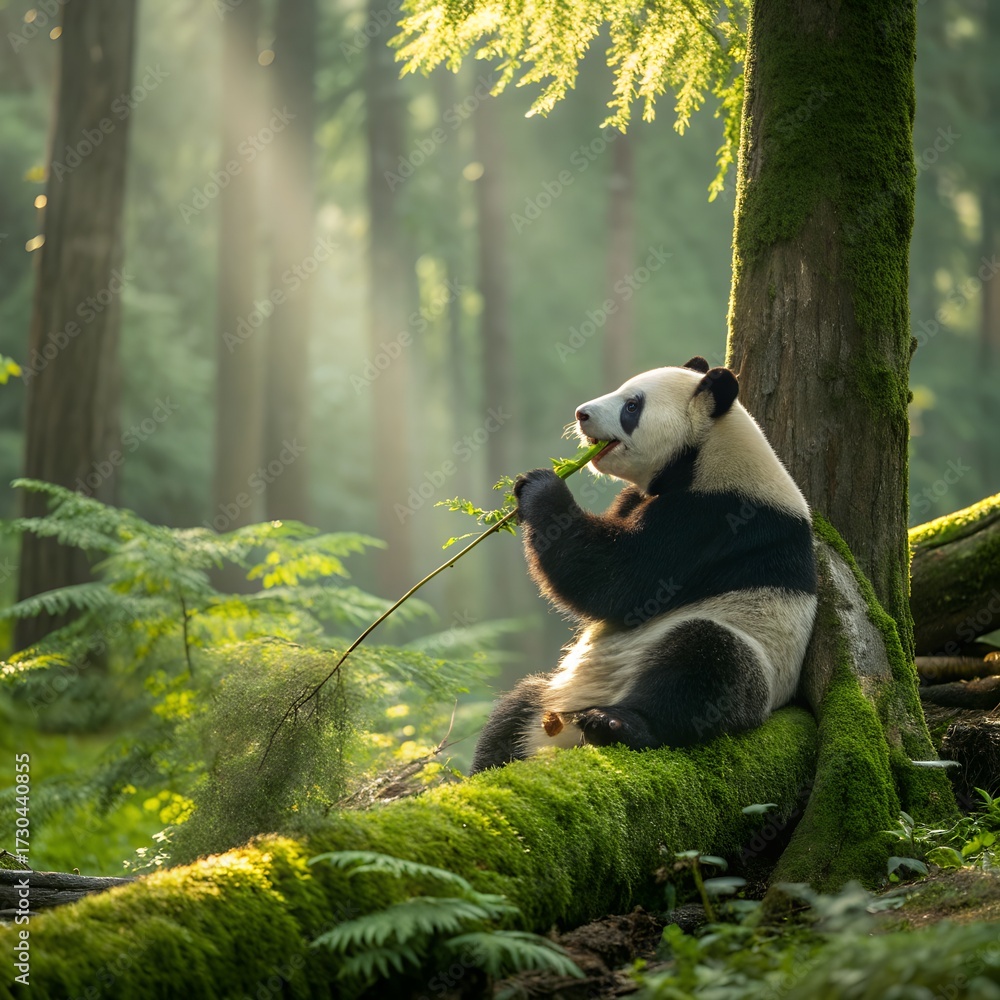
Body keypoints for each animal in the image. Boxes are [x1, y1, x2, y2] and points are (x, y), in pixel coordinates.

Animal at [469, 357, 817, 774]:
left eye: (632, 406)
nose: (581, 414)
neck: (706, 453)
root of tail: (560, 737)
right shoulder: (643, 500)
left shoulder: (716, 521)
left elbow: (620, 581)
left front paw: (541, 486)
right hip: (553, 698)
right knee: (511, 715)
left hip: (755, 657)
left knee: (705, 664)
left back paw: (616, 725)